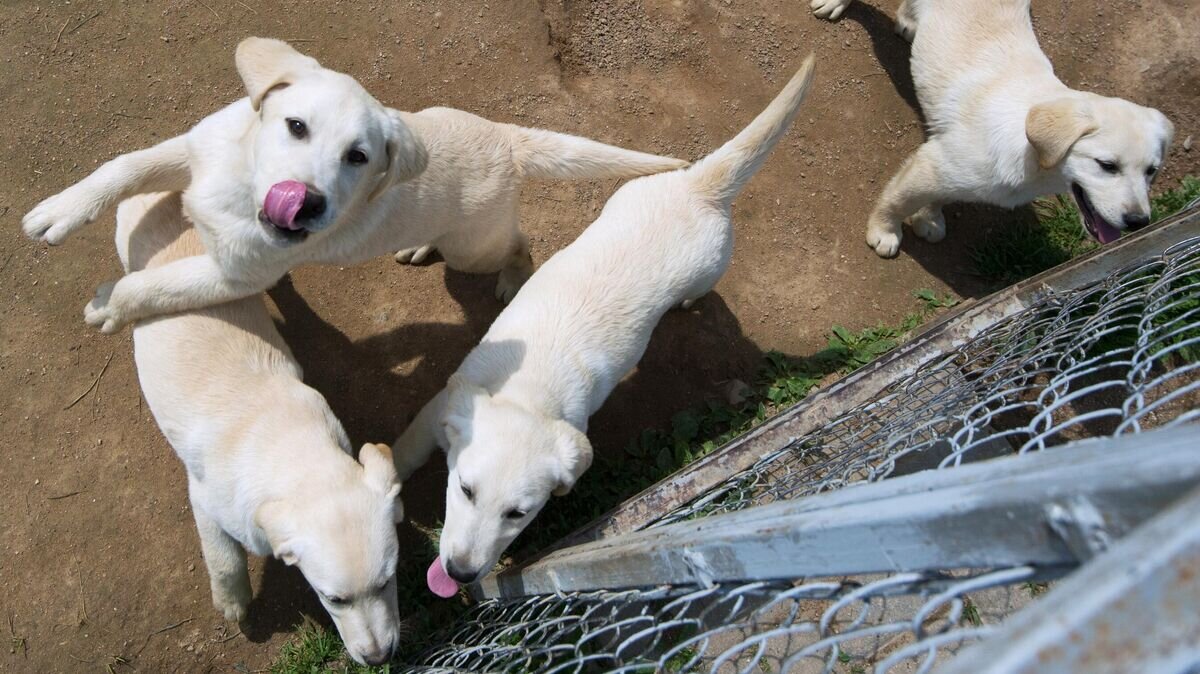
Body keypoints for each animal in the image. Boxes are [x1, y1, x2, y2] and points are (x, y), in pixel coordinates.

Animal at [23, 36, 691, 331]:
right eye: (294, 126)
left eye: (359, 157)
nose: (307, 207)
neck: (238, 190)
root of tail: (504, 136)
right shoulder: (194, 151)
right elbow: (124, 165)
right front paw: (61, 209)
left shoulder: (238, 275)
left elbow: (156, 286)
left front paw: (111, 304)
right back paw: (418, 243)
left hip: (475, 248)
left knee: (519, 242)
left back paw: (511, 277)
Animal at [806, 0, 1171, 255]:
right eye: (1107, 165)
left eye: (1151, 171)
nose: (1139, 222)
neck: (1028, 151)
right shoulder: (931, 164)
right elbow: (896, 200)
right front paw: (884, 232)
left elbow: (937, 196)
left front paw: (928, 218)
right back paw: (835, 2)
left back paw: (909, 21)